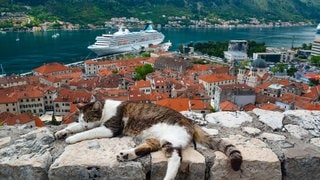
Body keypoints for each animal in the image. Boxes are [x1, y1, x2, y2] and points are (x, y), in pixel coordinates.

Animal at [55, 99, 242, 179]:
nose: (85, 123)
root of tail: (189, 120)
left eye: (88, 118)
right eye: (81, 119)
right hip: (156, 138)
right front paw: (62, 132)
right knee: (150, 147)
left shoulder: (110, 128)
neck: (105, 109)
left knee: (175, 158)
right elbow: (74, 128)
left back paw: (167, 178)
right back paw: (126, 155)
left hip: (170, 139)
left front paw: (72, 138)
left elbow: (87, 133)